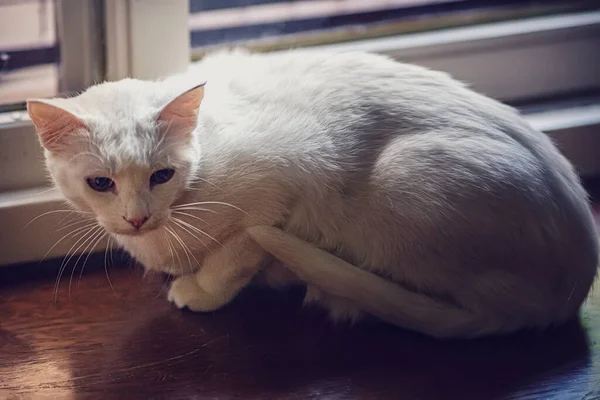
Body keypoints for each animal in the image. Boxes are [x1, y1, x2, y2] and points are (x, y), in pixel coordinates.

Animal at [29, 50, 600, 338]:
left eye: (161, 176)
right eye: (100, 183)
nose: (136, 218)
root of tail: (566, 295)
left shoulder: (283, 183)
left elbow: (234, 254)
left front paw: (202, 290)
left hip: (405, 177)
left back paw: (332, 296)